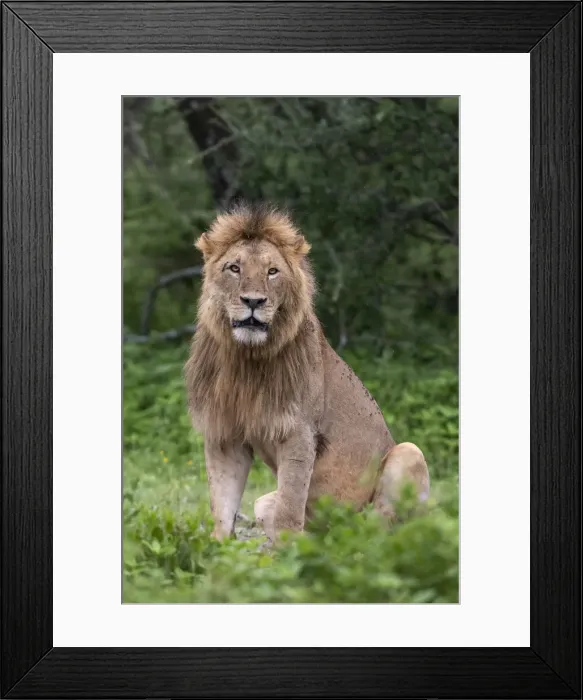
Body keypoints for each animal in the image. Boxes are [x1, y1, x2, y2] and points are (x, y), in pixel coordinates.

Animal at [184, 202, 430, 541]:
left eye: (272, 271)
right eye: (234, 268)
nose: (253, 301)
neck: (246, 358)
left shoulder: (298, 431)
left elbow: (290, 506)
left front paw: (290, 553)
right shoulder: (226, 432)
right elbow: (222, 502)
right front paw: (217, 548)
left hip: (409, 453)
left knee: (381, 534)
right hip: (263, 503)